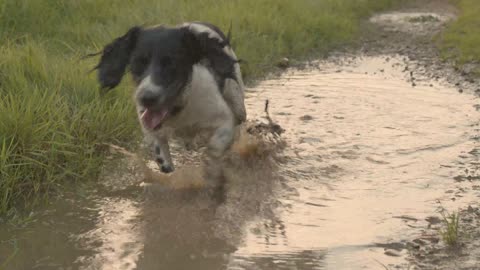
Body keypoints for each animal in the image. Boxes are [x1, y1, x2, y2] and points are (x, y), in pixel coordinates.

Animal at [93, 22, 246, 189]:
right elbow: (161, 155)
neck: (178, 110)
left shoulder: (224, 120)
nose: (146, 98)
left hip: (237, 103)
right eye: (137, 63)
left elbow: (215, 147)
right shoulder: (149, 126)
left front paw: (211, 169)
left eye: (171, 63)